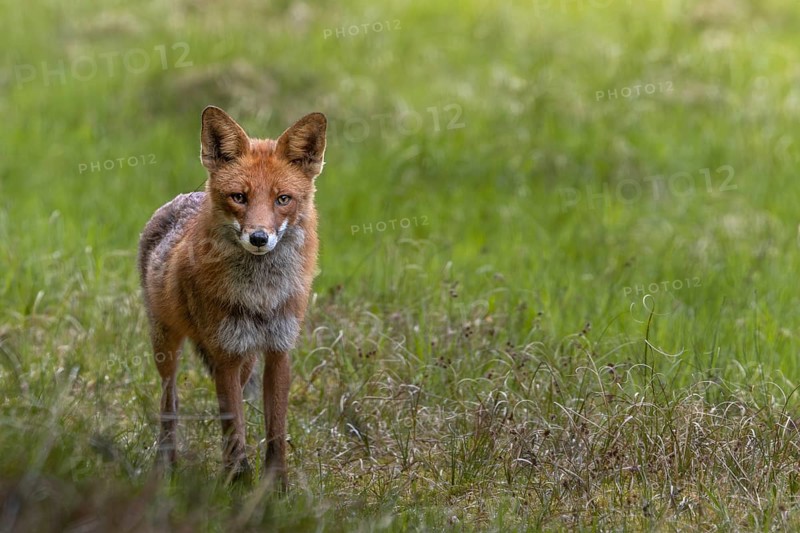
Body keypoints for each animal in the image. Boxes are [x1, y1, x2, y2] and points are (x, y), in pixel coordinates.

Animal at [137, 105, 326, 487]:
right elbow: (234, 426)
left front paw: (275, 488)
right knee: (170, 400)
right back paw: (167, 464)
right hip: (166, 344)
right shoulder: (225, 353)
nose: (259, 237)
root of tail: (184, 197)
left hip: (247, 360)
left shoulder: (278, 351)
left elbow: (275, 430)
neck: (261, 295)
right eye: (239, 197)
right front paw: (238, 483)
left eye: (283, 199)